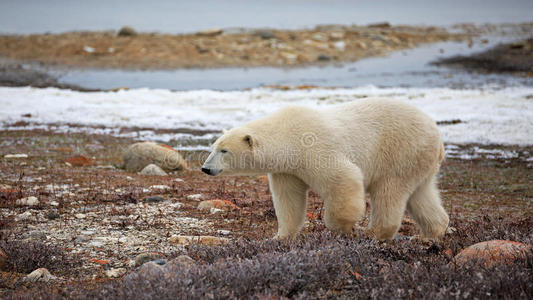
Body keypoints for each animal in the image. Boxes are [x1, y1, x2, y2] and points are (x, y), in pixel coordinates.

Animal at [203, 99, 448, 240]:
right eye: (213, 147)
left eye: (224, 150)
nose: (206, 168)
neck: (288, 137)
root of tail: (437, 137)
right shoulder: (287, 169)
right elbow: (288, 199)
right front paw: (280, 237)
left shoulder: (314, 149)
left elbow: (344, 178)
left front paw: (342, 227)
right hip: (418, 162)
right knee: (421, 194)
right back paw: (430, 234)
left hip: (400, 151)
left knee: (389, 191)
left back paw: (372, 233)